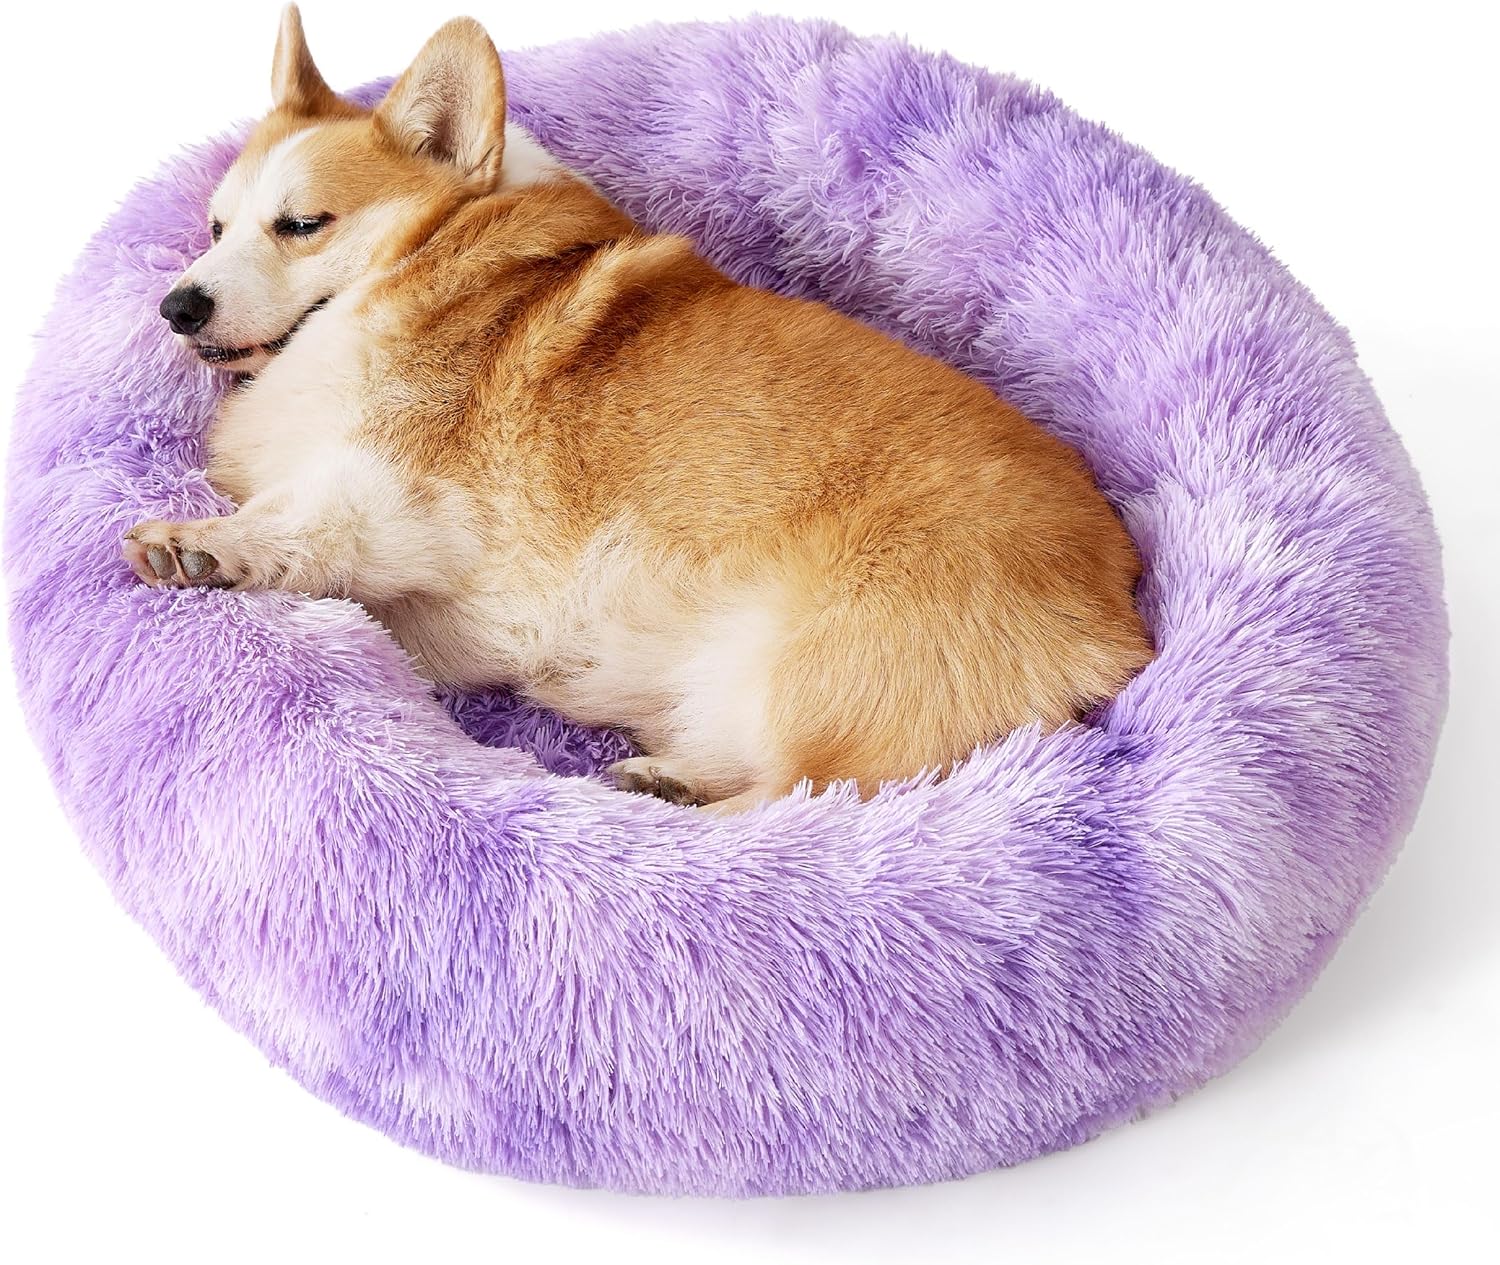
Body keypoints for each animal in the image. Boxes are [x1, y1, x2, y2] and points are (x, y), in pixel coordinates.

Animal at [126, 7, 1153, 813]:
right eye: (215, 227)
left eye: (302, 225)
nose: (177, 305)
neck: (424, 261)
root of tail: (1120, 622)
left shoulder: (389, 497)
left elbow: (295, 520)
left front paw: (202, 543)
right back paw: (674, 779)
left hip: (820, 672)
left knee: (815, 803)